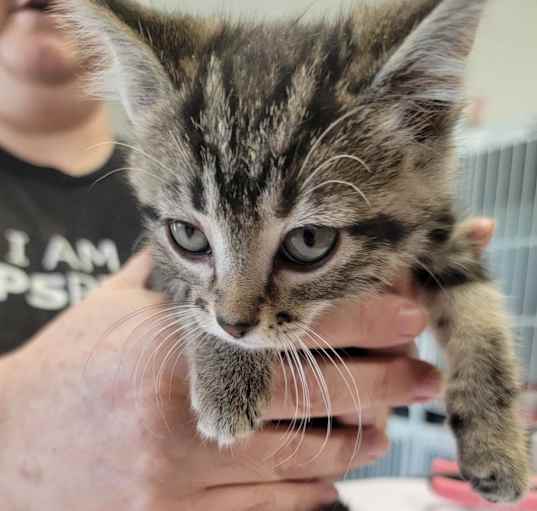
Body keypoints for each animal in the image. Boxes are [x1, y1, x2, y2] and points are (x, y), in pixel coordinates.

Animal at [57, 0, 528, 504]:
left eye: (309, 242)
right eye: (188, 235)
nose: (234, 325)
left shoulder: (439, 223)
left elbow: (478, 308)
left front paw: (499, 444)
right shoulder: (157, 263)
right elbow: (189, 296)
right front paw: (227, 378)